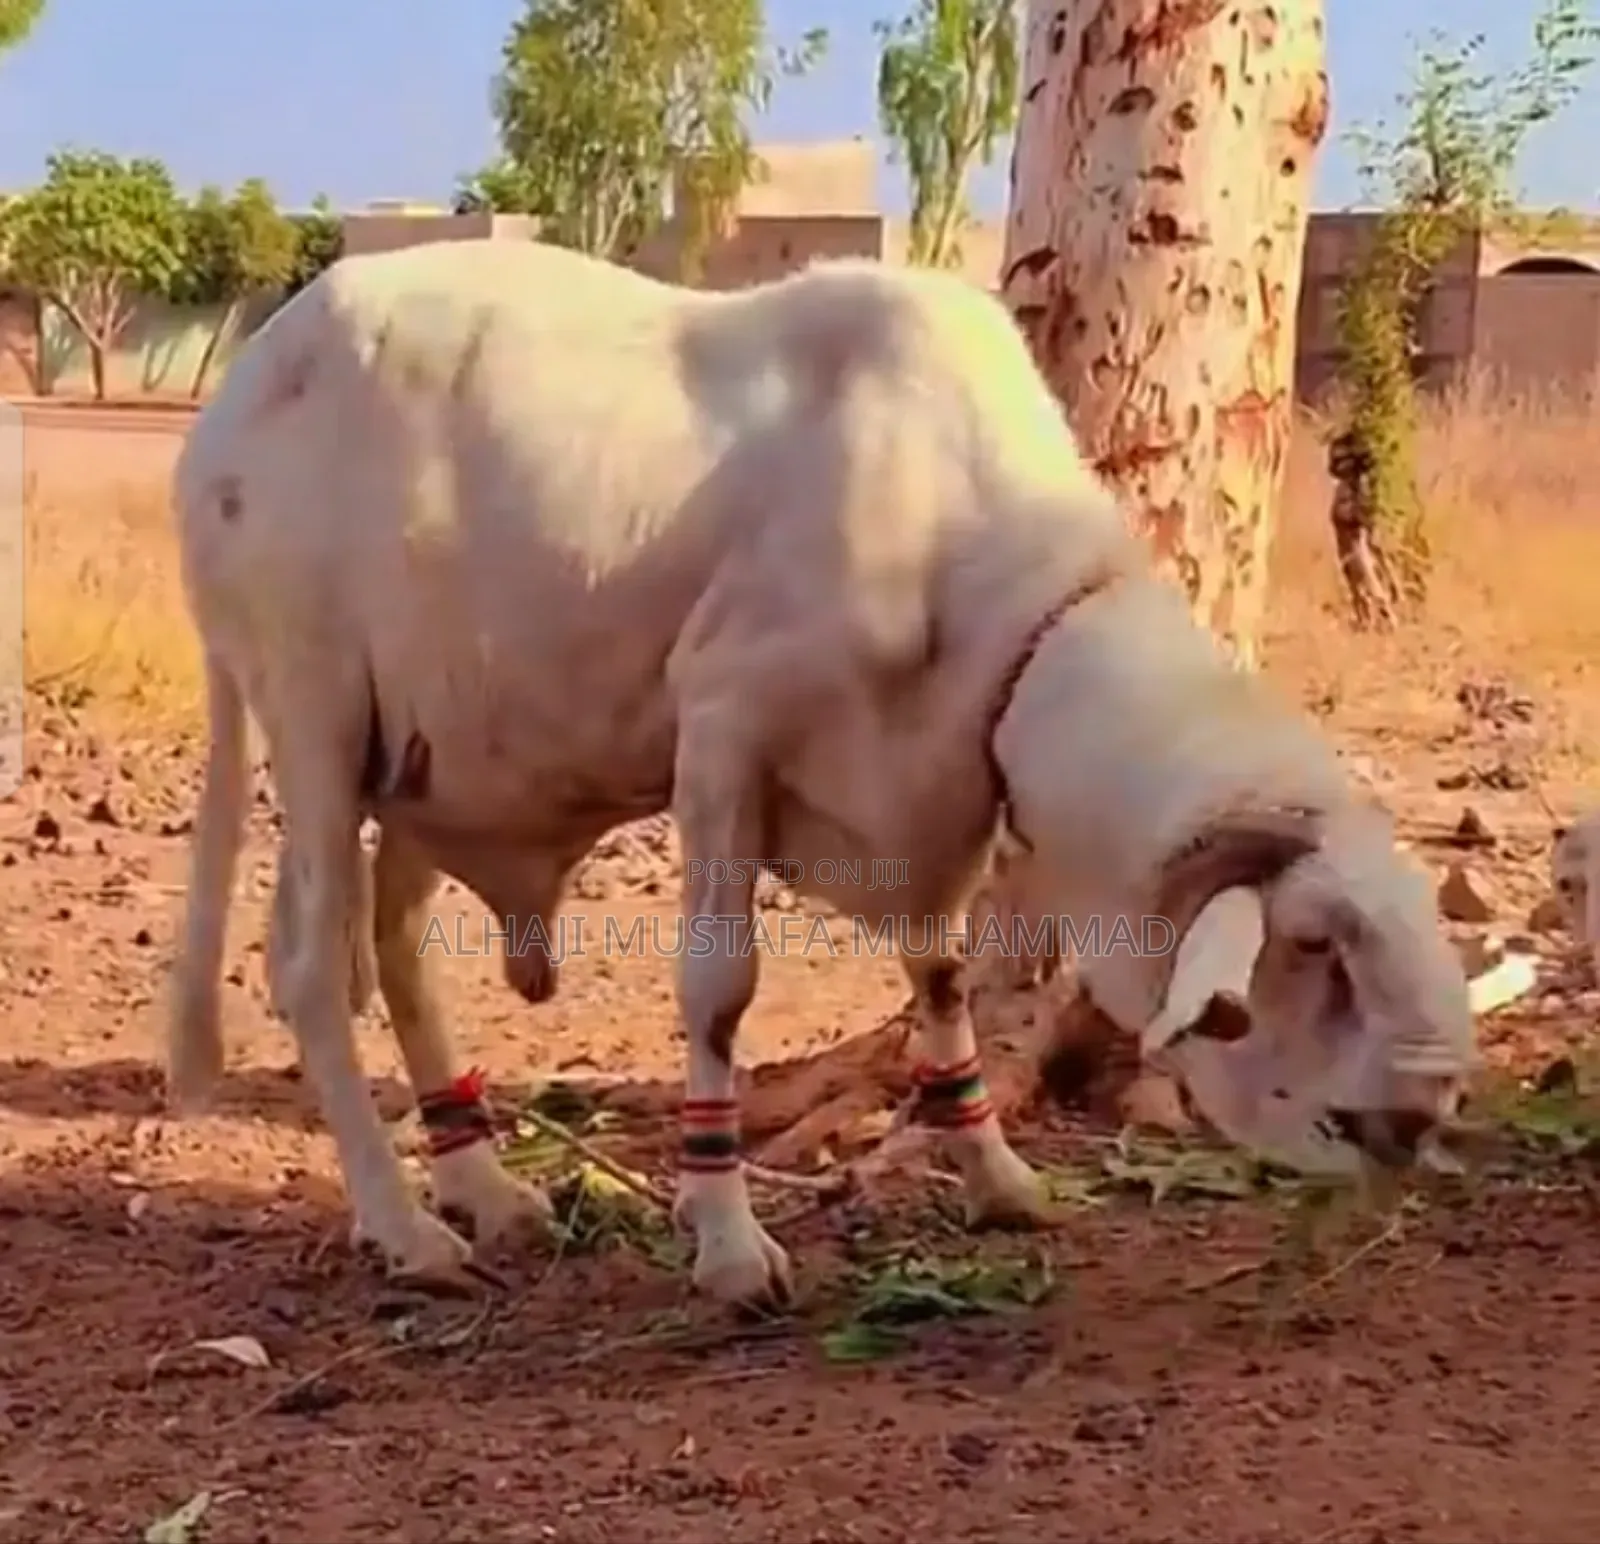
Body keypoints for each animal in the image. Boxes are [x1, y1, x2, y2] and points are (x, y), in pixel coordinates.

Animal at [166, 237, 1477, 1309]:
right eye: (1312, 942)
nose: (1426, 1108)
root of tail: (223, 412)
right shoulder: (722, 730)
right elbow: (718, 990)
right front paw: (729, 1242)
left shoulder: (930, 796)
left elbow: (941, 979)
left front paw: (997, 1174)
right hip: (315, 706)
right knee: (309, 967)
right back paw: (405, 1227)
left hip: (435, 762)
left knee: (393, 950)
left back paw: (486, 1187)